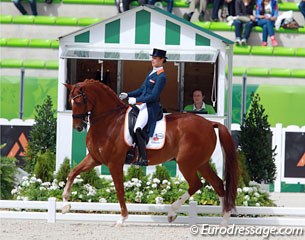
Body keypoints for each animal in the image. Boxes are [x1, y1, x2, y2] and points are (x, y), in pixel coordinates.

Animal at [61, 79, 238, 226]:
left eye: (78, 101)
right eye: (70, 101)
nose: (78, 127)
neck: (109, 120)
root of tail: (209, 123)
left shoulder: (114, 163)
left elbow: (119, 190)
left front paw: (122, 218)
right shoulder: (94, 158)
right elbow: (72, 173)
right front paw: (65, 206)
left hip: (186, 164)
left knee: (196, 184)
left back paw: (172, 212)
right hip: (201, 163)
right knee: (218, 184)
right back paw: (224, 221)